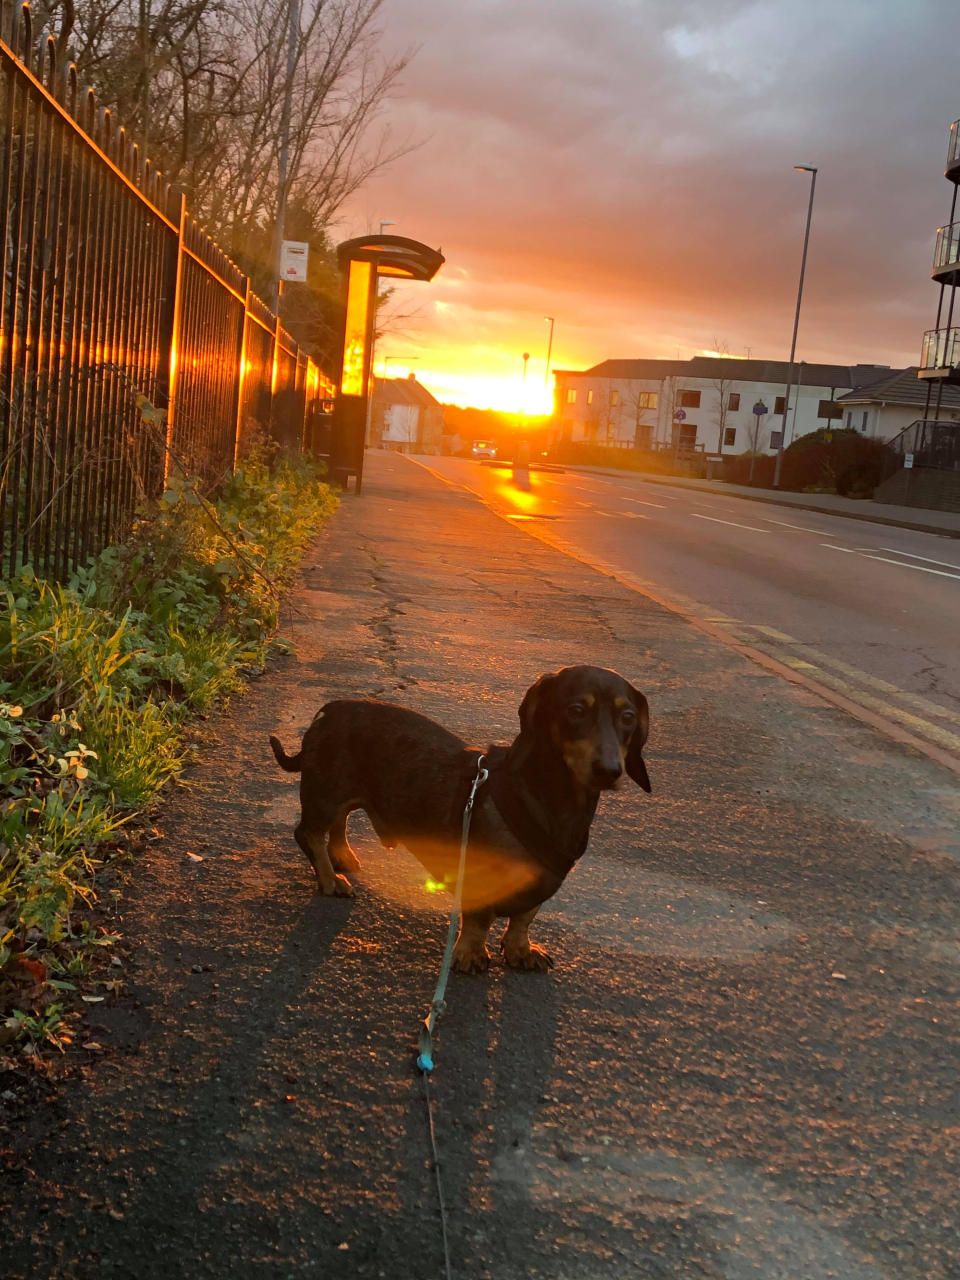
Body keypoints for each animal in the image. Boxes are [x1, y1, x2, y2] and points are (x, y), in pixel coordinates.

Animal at [267, 665, 650, 972]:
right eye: (576, 710)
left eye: (628, 717)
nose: (609, 771)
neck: (549, 797)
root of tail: (327, 710)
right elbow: (479, 919)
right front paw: (469, 954)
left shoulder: (544, 879)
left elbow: (524, 917)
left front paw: (520, 950)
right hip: (325, 793)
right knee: (308, 833)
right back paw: (330, 880)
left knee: (340, 821)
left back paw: (342, 856)